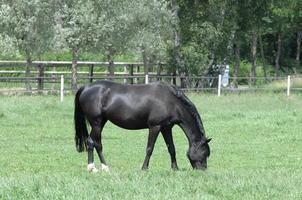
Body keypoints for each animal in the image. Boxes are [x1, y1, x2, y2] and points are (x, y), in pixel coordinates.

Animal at [74, 80, 211, 171]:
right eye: (204, 153)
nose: (202, 170)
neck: (171, 101)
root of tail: (85, 87)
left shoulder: (166, 128)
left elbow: (171, 148)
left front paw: (175, 168)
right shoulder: (155, 127)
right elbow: (150, 148)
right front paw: (144, 168)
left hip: (101, 122)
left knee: (93, 142)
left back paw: (95, 167)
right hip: (96, 123)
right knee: (95, 143)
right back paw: (100, 167)